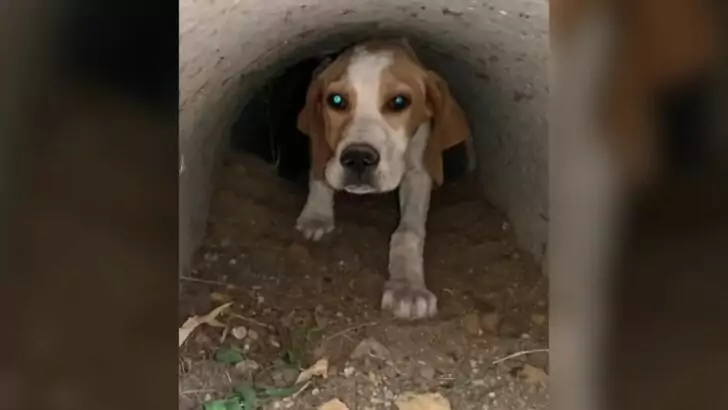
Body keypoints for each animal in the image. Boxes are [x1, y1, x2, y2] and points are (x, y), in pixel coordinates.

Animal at [296, 38, 472, 320]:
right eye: (336, 100)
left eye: (399, 102)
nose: (358, 159)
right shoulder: (320, 137)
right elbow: (320, 171)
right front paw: (317, 215)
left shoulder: (419, 169)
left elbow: (407, 232)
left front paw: (407, 287)